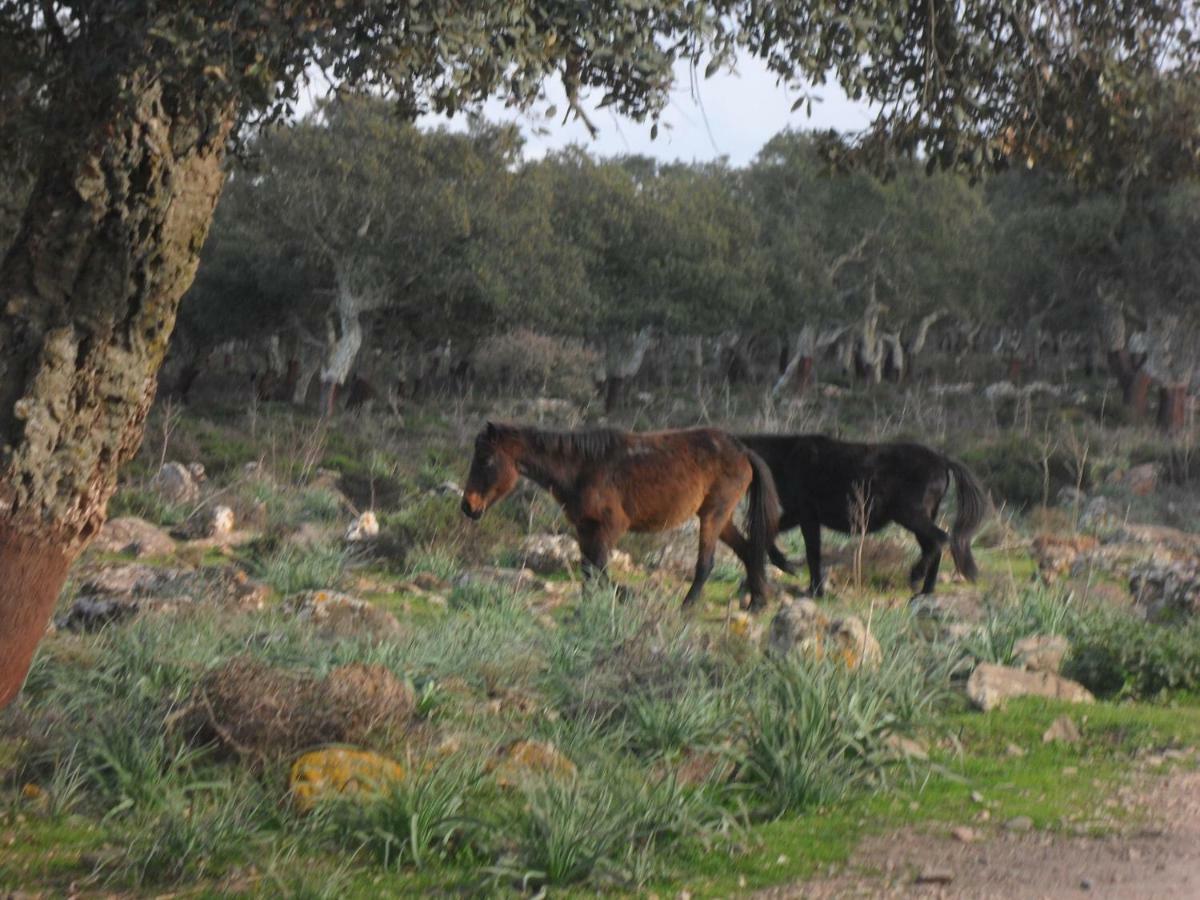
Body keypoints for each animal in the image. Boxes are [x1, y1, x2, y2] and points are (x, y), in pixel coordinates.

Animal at [456, 424, 777, 614]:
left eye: (485, 459)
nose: (468, 506)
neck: (583, 469)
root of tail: (743, 451)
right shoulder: (585, 529)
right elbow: (589, 570)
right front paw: (589, 605)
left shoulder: (610, 527)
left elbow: (598, 569)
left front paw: (623, 596)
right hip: (721, 518)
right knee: (748, 551)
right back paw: (758, 602)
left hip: (713, 515)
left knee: (706, 563)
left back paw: (687, 606)